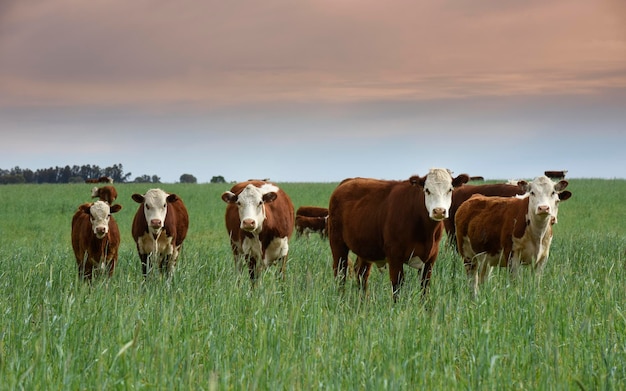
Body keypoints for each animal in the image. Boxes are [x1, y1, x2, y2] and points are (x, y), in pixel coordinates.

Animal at [326, 170, 468, 302]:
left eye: (450, 189)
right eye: (427, 190)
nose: (439, 211)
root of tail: (348, 181)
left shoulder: (430, 259)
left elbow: (425, 287)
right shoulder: (395, 256)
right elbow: (397, 286)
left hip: (366, 248)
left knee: (361, 274)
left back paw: (364, 302)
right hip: (337, 243)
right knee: (340, 272)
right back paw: (341, 300)